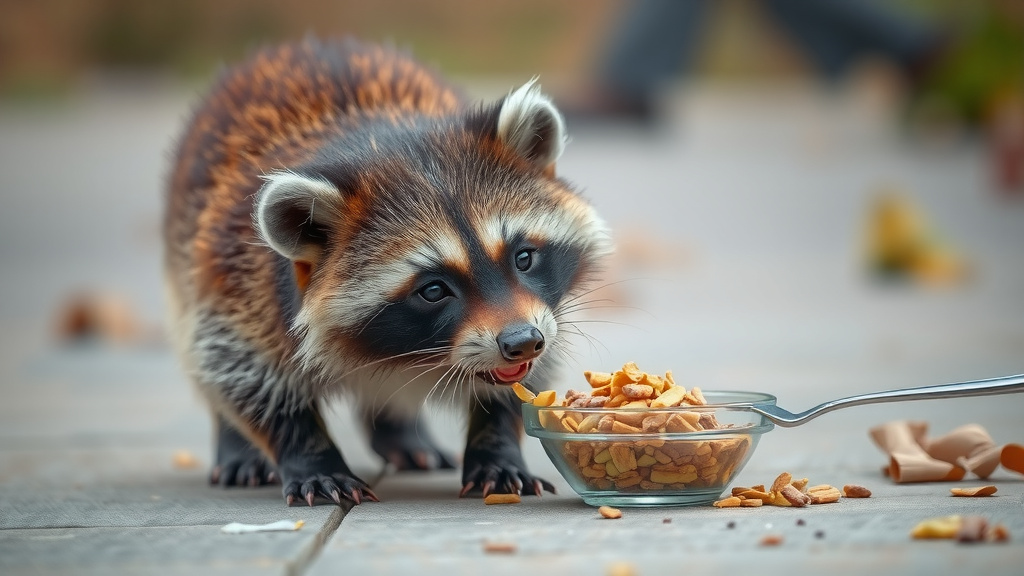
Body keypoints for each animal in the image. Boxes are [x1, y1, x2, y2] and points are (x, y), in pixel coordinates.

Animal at [163, 38, 610, 506]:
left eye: (523, 258)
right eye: (433, 290)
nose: (522, 342)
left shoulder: (544, 313)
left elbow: (525, 380)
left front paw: (496, 442)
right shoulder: (242, 282)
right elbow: (247, 372)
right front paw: (310, 455)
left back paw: (401, 435)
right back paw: (237, 448)